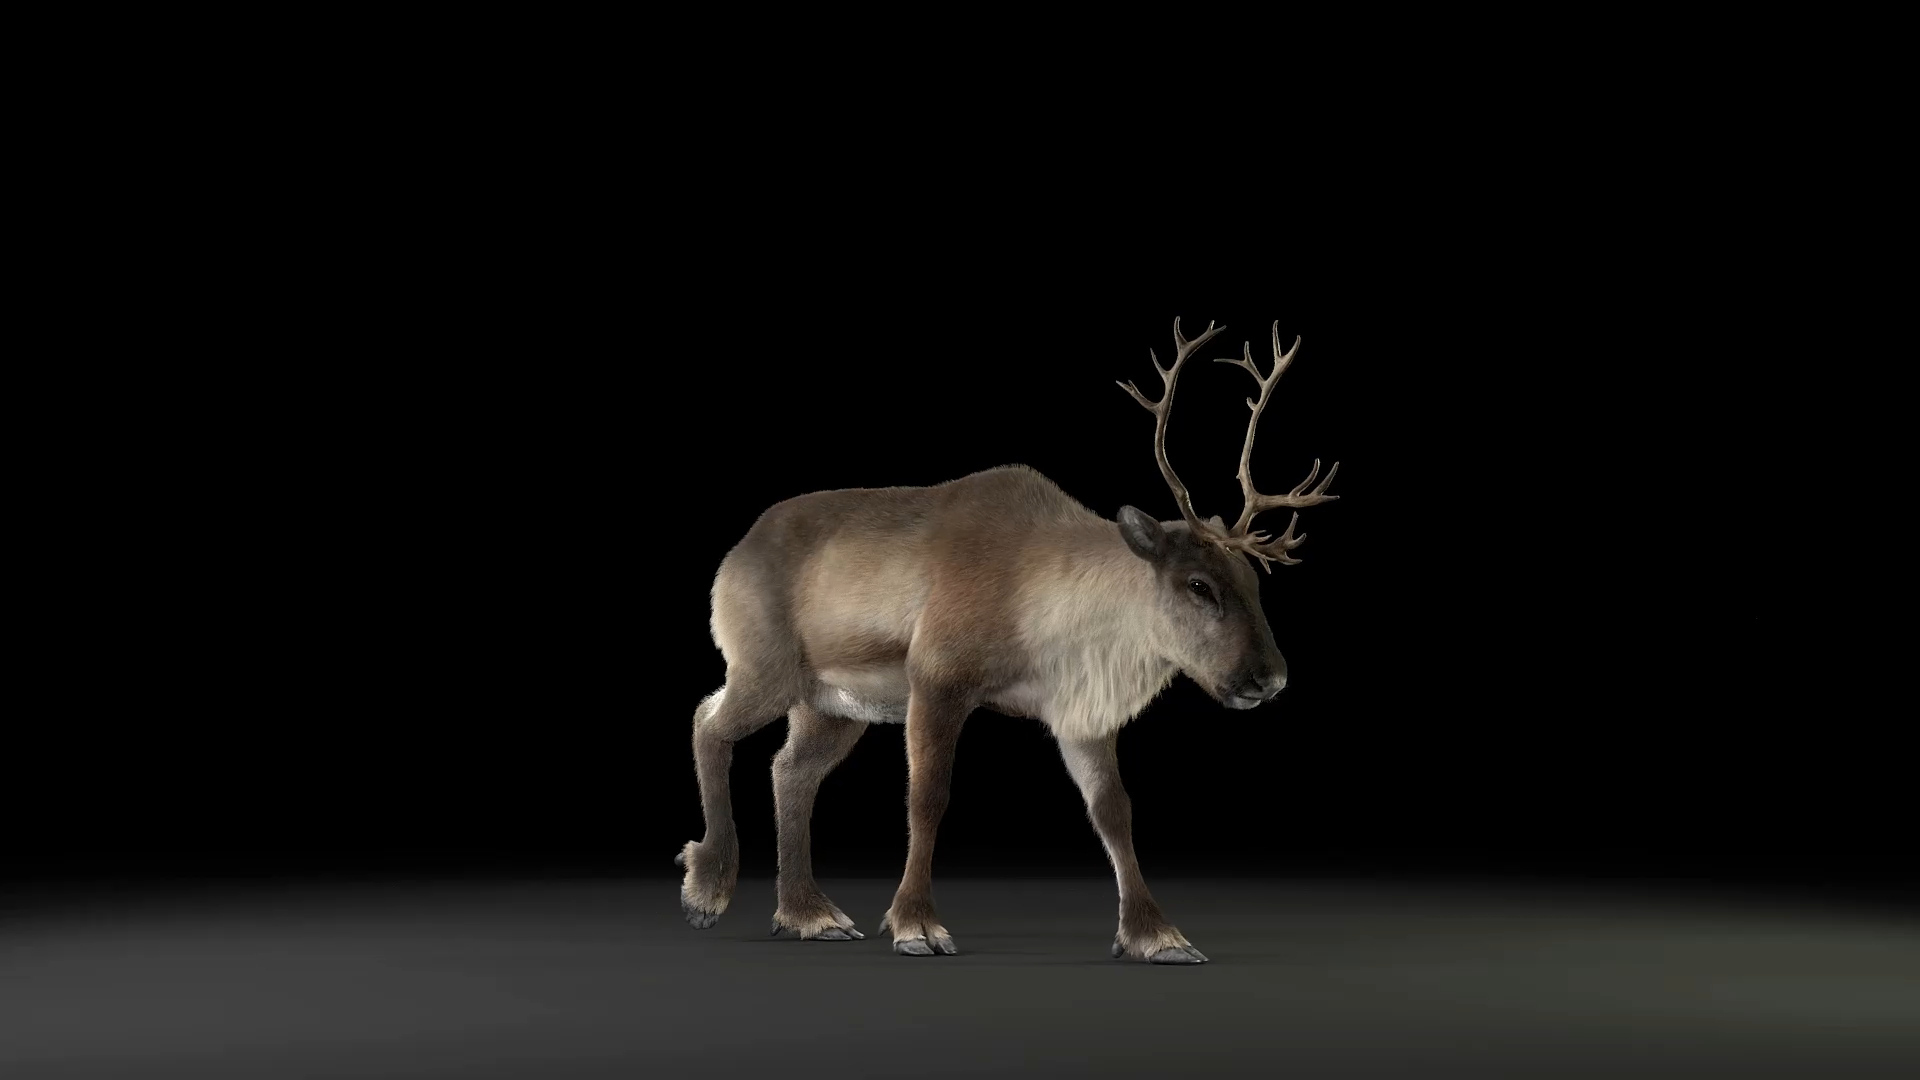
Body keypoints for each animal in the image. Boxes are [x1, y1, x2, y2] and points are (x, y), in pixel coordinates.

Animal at [675, 317, 1339, 963]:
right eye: (1198, 584)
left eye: (1254, 581)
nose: (1271, 677)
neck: (1045, 608)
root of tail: (732, 558)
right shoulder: (936, 678)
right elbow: (927, 796)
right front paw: (916, 925)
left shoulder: (1078, 712)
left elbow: (1114, 809)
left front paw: (1157, 936)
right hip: (765, 666)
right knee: (710, 721)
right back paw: (707, 890)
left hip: (834, 704)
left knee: (790, 770)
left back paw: (808, 916)